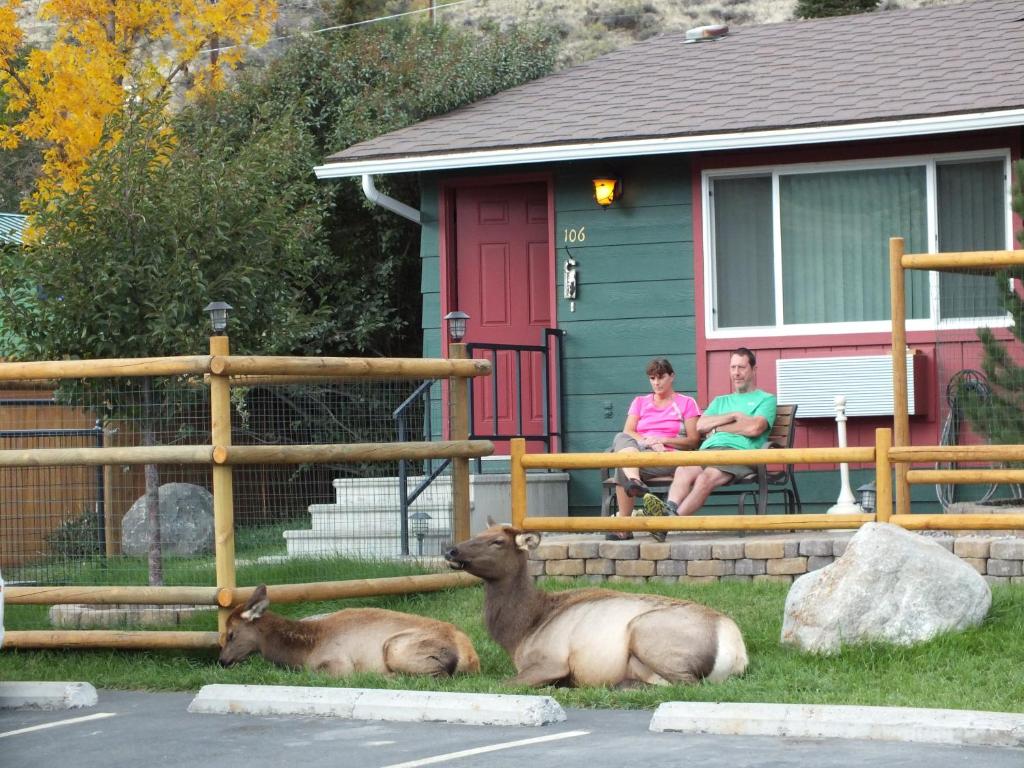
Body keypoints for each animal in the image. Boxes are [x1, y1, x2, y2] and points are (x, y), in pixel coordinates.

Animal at [444, 528, 749, 688]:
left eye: (497, 541)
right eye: (479, 532)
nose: (450, 550)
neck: (520, 632)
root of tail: (736, 652)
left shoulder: (550, 660)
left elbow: (498, 684)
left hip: (646, 633)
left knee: (685, 684)